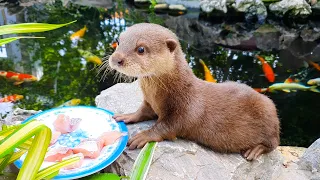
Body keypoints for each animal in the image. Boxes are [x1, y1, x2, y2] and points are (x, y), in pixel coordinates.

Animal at [106, 22, 278, 160]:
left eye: (141, 49)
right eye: (118, 42)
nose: (117, 59)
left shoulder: (185, 110)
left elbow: (168, 127)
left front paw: (144, 135)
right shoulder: (149, 102)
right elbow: (142, 111)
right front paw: (127, 116)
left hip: (269, 119)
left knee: (273, 144)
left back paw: (254, 151)